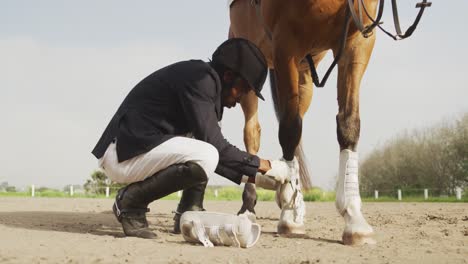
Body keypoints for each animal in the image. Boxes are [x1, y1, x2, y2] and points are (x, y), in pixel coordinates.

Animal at [229, 0, 382, 245]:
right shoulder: (286, 45)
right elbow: (290, 130)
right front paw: (290, 215)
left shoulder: (359, 40)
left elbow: (348, 122)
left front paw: (354, 219)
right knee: (253, 133)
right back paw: (249, 207)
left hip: (305, 73)